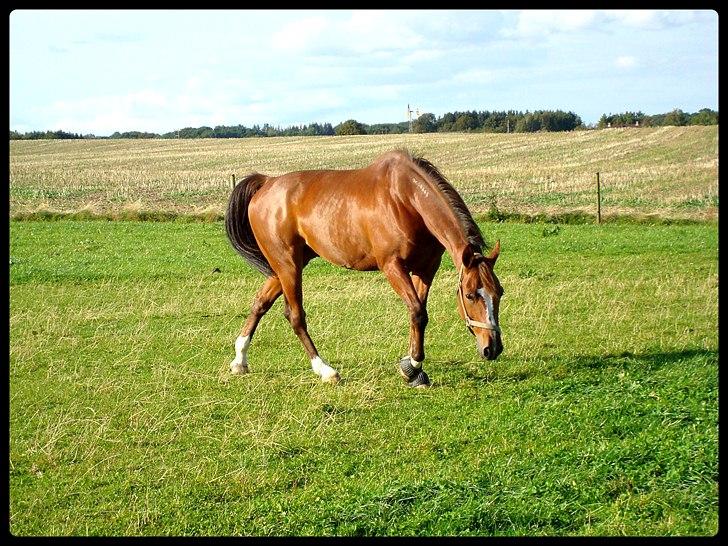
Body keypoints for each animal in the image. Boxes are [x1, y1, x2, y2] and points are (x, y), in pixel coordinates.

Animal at [225, 149, 504, 386]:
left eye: (499, 293)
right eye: (470, 295)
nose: (492, 348)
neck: (406, 199)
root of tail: (267, 183)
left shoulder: (425, 269)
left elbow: (418, 313)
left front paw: (413, 368)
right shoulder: (392, 266)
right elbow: (417, 312)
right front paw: (412, 367)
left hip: (285, 267)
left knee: (260, 303)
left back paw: (240, 361)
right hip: (288, 265)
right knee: (295, 316)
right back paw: (325, 370)